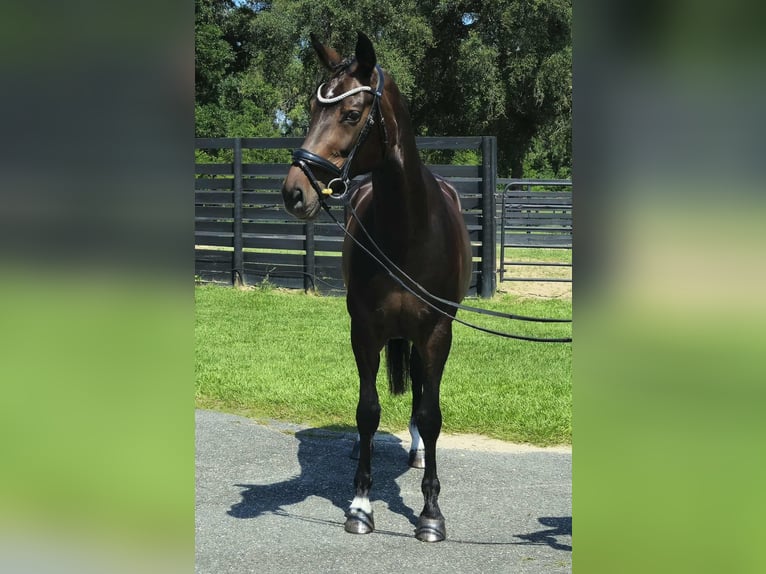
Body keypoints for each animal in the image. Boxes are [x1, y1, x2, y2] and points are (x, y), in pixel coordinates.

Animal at [281, 32, 472, 543]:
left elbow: (430, 414)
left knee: (423, 393)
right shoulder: (364, 329)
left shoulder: (437, 333)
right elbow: (367, 410)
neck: (408, 230)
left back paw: (419, 451)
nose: (294, 192)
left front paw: (430, 513)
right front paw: (361, 505)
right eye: (312, 108)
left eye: (350, 114)